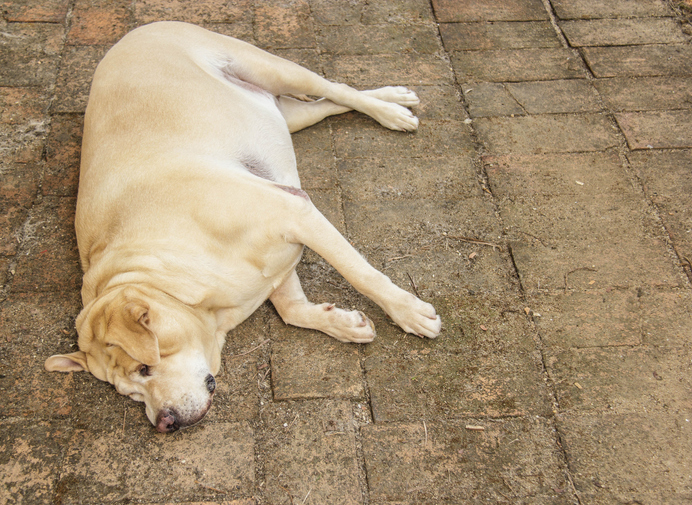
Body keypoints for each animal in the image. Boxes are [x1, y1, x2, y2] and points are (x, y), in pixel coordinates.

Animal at [46, 22, 440, 434]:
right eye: (129, 393)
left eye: (145, 367)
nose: (164, 422)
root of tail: (133, 32)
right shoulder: (277, 259)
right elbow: (292, 310)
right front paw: (343, 324)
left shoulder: (292, 213)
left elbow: (361, 273)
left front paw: (408, 312)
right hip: (282, 113)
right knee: (324, 103)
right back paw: (394, 100)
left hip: (272, 69)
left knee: (335, 87)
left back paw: (390, 108)